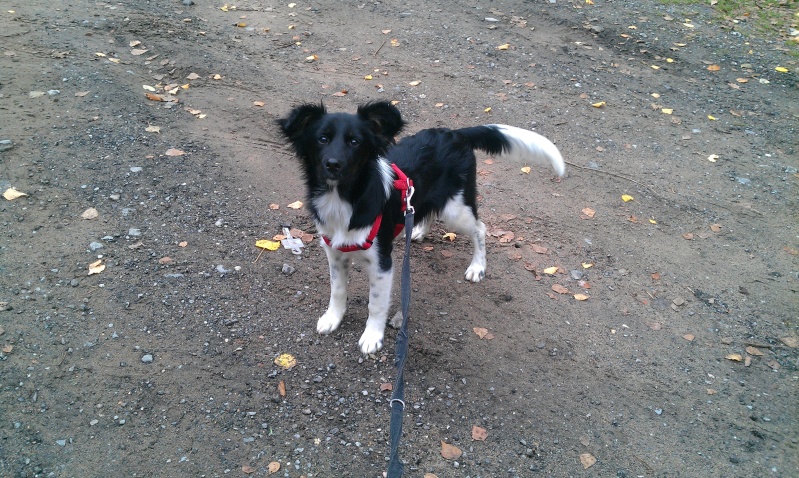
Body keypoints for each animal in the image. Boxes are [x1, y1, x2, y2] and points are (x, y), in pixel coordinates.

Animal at [278, 102, 564, 354]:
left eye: (355, 142)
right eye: (322, 139)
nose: (333, 164)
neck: (344, 198)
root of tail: (455, 134)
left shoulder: (382, 262)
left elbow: (376, 304)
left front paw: (372, 336)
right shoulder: (334, 252)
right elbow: (337, 290)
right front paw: (333, 318)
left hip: (456, 209)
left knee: (480, 229)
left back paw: (477, 267)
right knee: (424, 211)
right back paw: (417, 231)